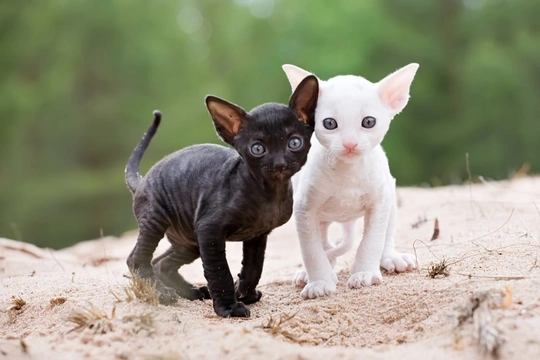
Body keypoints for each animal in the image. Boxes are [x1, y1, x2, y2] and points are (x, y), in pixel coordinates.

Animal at [124, 75, 318, 316]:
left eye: (294, 143)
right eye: (258, 149)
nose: (279, 164)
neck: (269, 193)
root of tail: (142, 180)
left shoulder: (258, 235)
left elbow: (254, 267)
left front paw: (245, 294)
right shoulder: (209, 230)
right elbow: (219, 271)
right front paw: (229, 307)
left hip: (189, 240)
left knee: (161, 263)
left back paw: (193, 292)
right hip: (157, 219)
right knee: (136, 259)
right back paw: (162, 294)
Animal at [280, 64, 420, 298]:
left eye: (368, 122)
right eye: (329, 124)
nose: (350, 144)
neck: (347, 172)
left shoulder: (380, 202)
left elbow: (372, 240)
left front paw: (364, 273)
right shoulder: (303, 208)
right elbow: (312, 250)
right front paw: (319, 282)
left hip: (390, 195)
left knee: (386, 233)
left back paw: (391, 258)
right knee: (324, 243)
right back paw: (311, 273)